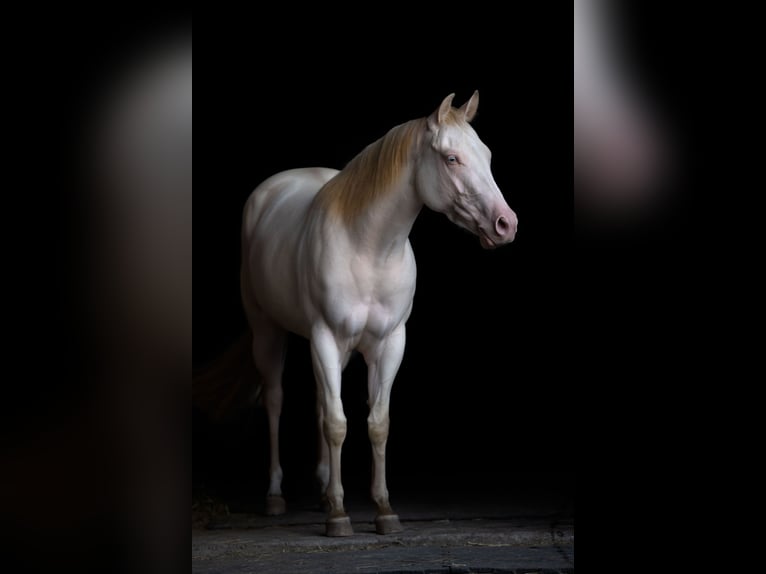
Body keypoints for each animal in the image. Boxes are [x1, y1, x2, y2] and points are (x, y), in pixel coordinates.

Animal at [242, 92, 516, 536]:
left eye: (487, 156)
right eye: (451, 159)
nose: (506, 224)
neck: (369, 248)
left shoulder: (390, 344)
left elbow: (377, 423)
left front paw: (383, 509)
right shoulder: (325, 337)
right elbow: (338, 424)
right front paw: (339, 515)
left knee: (320, 403)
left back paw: (322, 490)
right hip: (267, 331)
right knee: (275, 402)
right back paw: (275, 496)